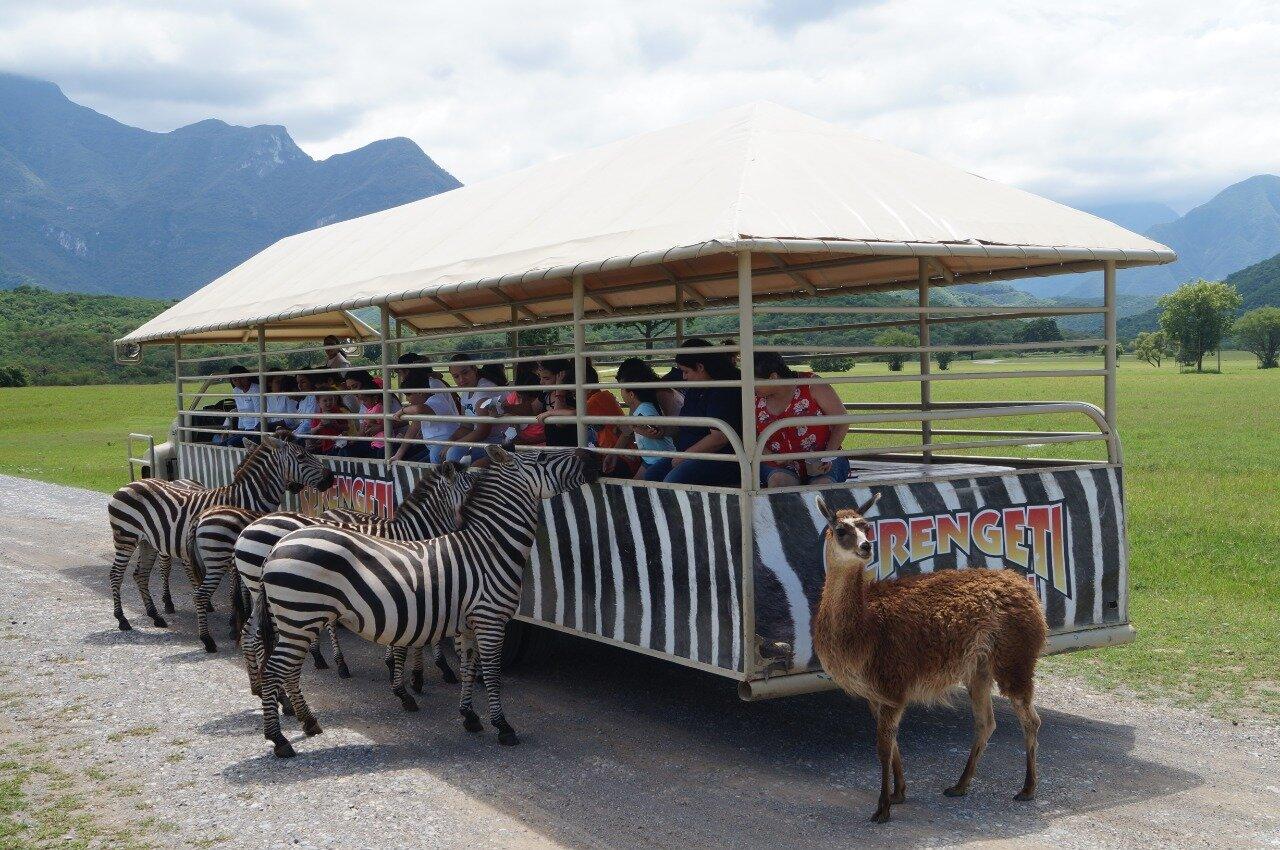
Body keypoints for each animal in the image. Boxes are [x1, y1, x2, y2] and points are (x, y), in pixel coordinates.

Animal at [105, 437, 335, 629]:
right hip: (126, 537)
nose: (331, 478)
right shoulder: (230, 548)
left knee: (141, 575)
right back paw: (123, 619)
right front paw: (237, 618)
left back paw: (155, 616)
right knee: (116, 574)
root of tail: (128, 485)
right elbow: (237, 586)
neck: (246, 499)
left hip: (148, 542)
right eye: (301, 456)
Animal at [229, 460, 476, 696]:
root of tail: (246, 529)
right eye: (472, 489)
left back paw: (260, 686)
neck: (413, 533)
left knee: (252, 632)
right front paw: (429, 670)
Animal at [258, 445, 599, 757]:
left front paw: (469, 716)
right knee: (274, 670)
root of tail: (276, 548)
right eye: (542, 457)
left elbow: (468, 666)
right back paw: (280, 739)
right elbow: (491, 673)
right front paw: (502, 726)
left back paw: (307, 722)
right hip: (301, 616)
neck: (489, 548)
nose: (591, 456)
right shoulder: (490, 619)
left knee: (287, 669)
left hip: (298, 619)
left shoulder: (467, 622)